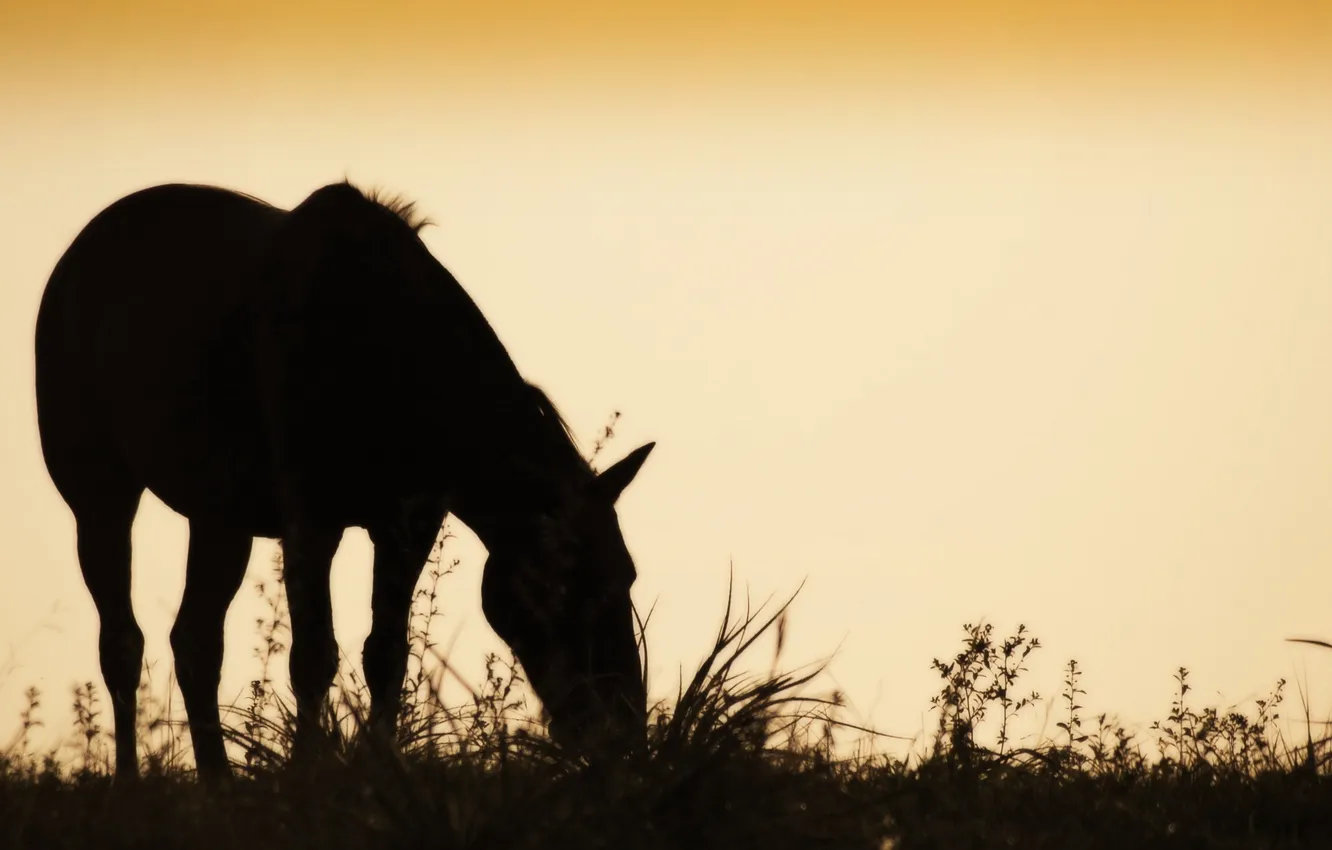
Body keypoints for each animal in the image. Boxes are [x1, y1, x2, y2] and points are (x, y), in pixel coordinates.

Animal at [38, 183, 663, 783]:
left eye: (628, 575)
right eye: (570, 586)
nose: (622, 728)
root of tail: (72, 263)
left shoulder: (407, 524)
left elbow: (385, 654)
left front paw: (383, 770)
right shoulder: (311, 521)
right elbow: (313, 656)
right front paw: (306, 776)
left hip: (219, 519)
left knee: (195, 641)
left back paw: (218, 783)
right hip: (101, 498)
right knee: (122, 642)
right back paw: (129, 782)